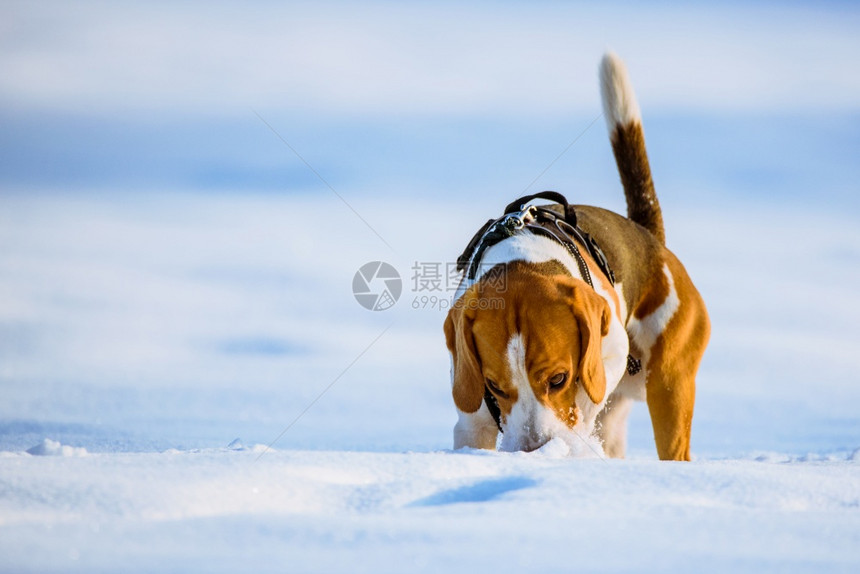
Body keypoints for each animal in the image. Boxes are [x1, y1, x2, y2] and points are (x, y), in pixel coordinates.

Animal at [446, 54, 708, 464]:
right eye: (493, 386)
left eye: (558, 379)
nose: (534, 451)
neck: (523, 256)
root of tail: (650, 238)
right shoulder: (470, 414)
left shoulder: (610, 352)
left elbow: (584, 401)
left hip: (668, 383)